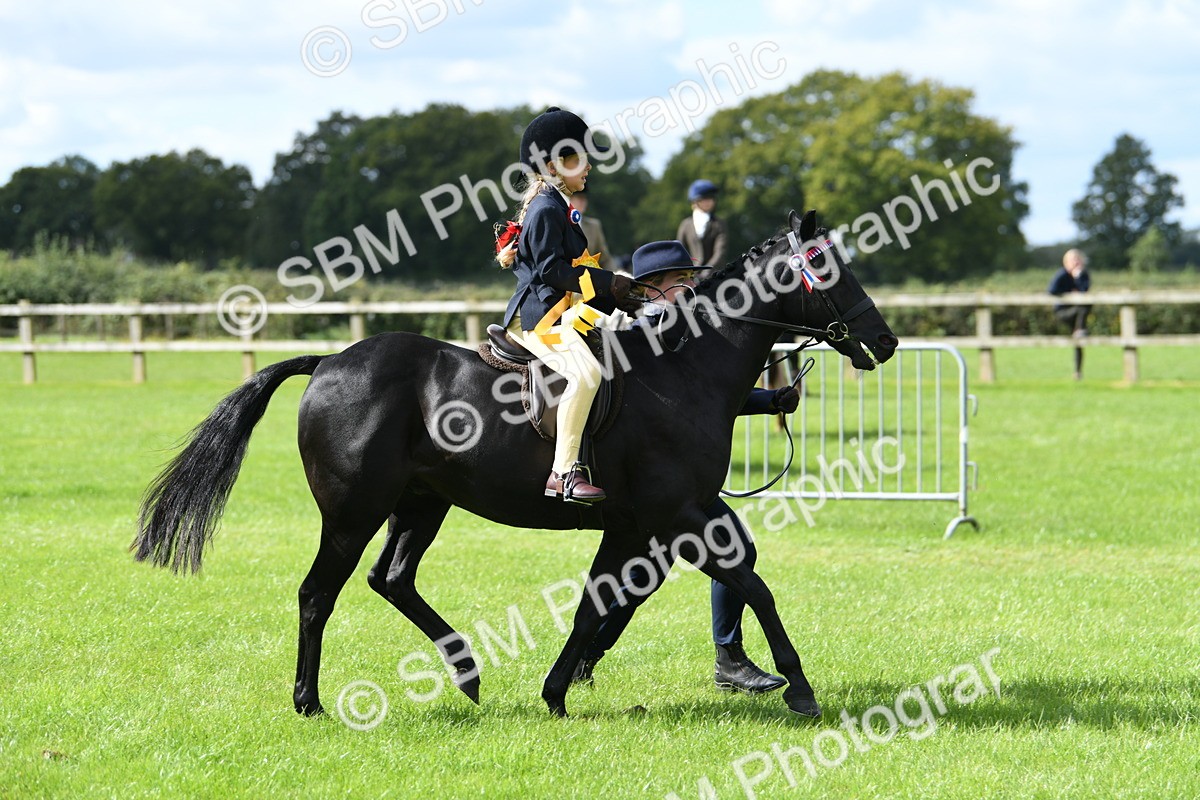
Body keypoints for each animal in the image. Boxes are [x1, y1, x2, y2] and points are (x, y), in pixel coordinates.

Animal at [133, 210, 898, 720]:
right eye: (827, 269)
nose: (885, 342)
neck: (680, 369)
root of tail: (329, 362)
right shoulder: (675, 517)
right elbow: (751, 585)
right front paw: (800, 688)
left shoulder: (638, 524)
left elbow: (599, 604)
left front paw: (559, 690)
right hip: (353, 512)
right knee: (318, 593)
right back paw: (311, 702)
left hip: (422, 503)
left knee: (391, 578)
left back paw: (467, 672)